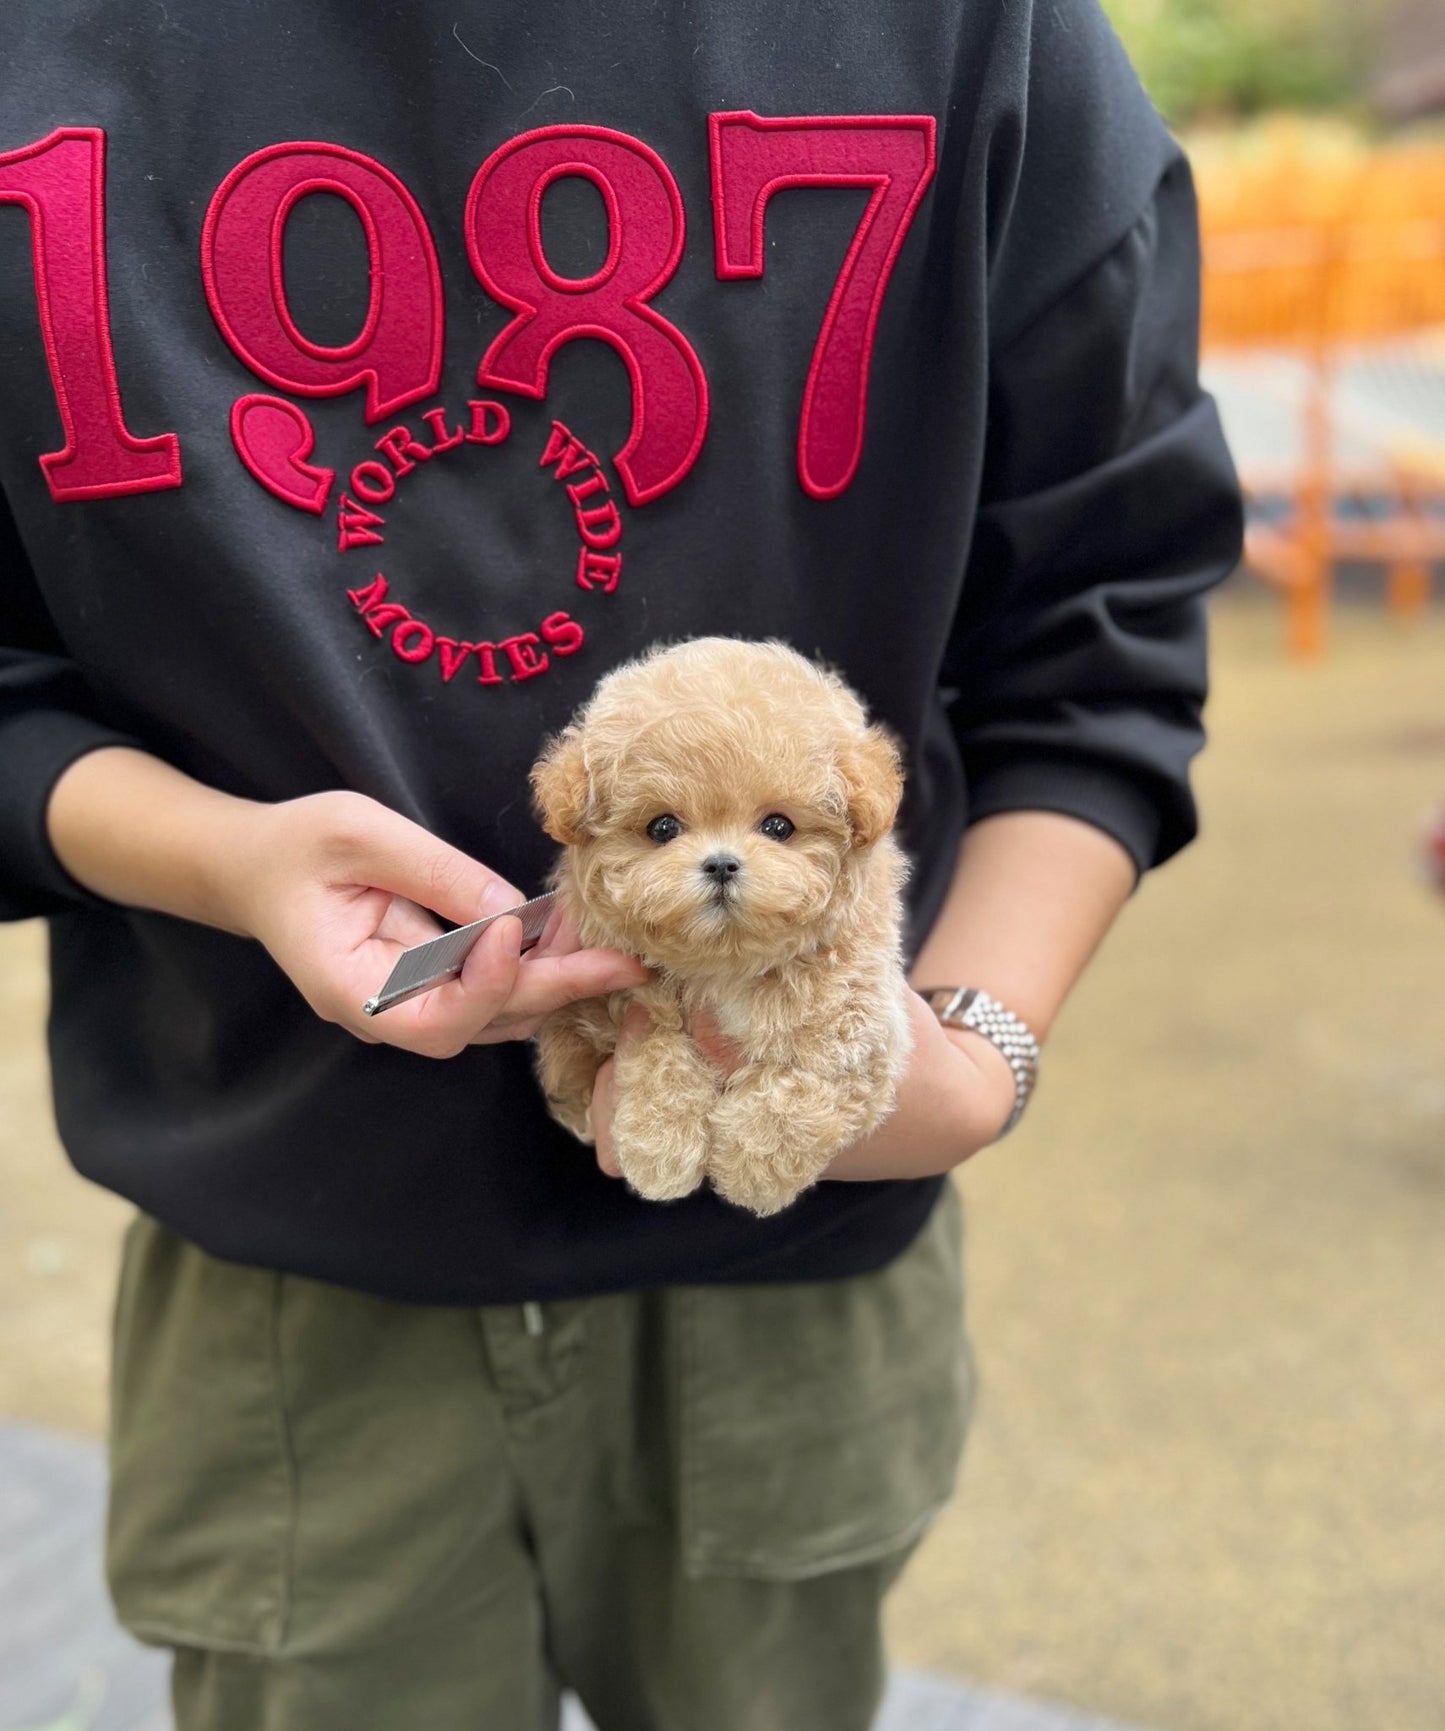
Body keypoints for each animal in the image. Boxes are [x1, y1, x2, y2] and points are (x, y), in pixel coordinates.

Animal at [529, 637, 913, 1218]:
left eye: (778, 826)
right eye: (662, 828)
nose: (722, 864)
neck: (725, 964)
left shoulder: (859, 1023)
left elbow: (807, 1077)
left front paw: (756, 1170)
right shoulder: (622, 1003)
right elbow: (656, 1049)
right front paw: (660, 1148)